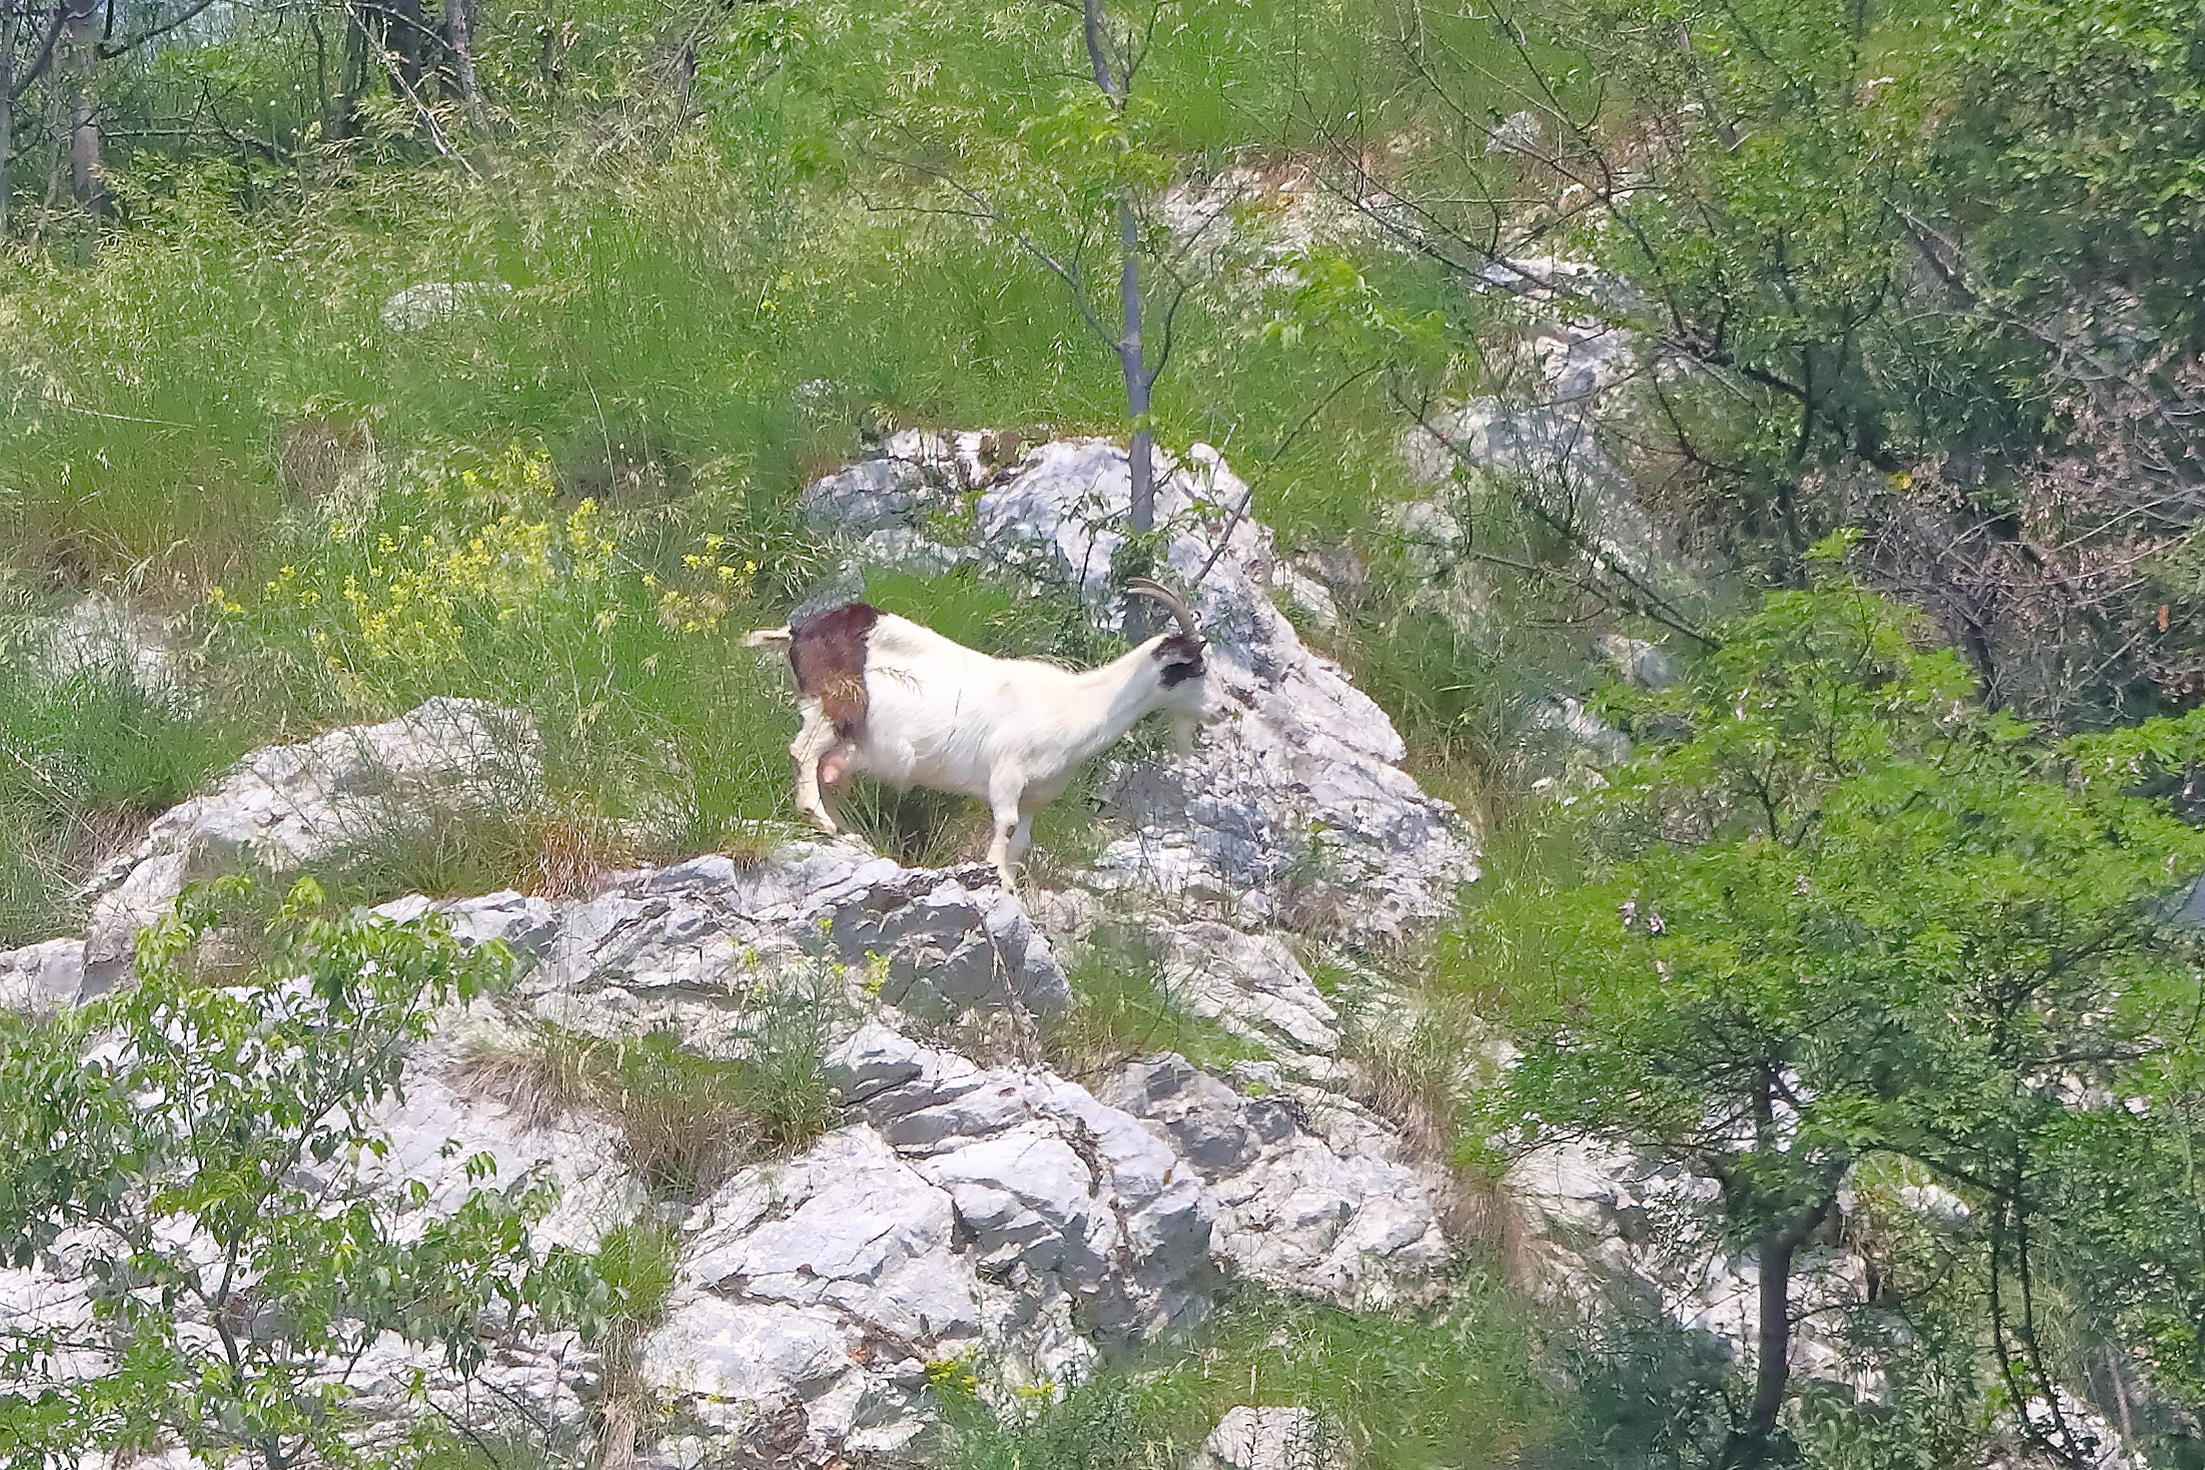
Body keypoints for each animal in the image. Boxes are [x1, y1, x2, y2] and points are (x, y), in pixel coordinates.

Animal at [743, 580, 1210, 892]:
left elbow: (1021, 838)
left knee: (825, 769)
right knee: (803, 752)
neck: (1075, 703)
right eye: (1197, 668)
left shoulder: (1034, 795)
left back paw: (846, 831)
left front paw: (1007, 878)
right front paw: (996, 877)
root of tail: (798, 632)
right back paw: (820, 818)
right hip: (835, 706)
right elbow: (1004, 825)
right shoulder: (1007, 771)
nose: (1221, 709)